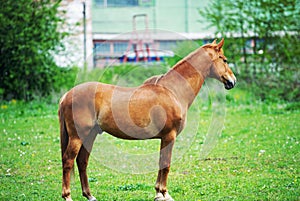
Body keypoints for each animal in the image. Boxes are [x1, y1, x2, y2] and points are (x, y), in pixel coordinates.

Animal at [59, 38, 237, 200]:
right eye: (224, 59)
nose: (232, 81)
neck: (172, 91)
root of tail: (67, 95)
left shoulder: (164, 138)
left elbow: (161, 163)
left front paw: (159, 193)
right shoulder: (169, 136)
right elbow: (166, 164)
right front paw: (164, 194)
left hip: (90, 135)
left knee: (82, 161)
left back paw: (89, 195)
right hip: (77, 137)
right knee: (68, 161)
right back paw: (67, 196)